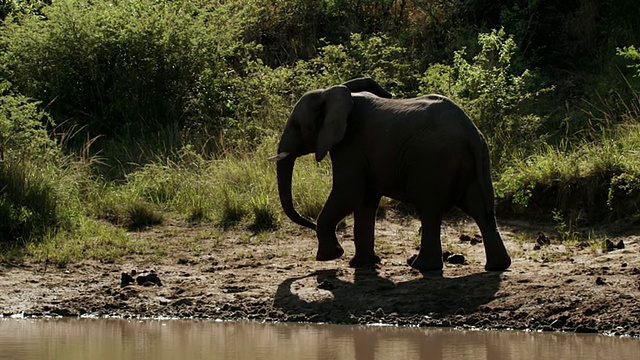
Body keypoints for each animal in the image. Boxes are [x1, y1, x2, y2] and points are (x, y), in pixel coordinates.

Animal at [268, 77, 510, 272]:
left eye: (296, 126)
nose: (309, 224)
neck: (329, 93)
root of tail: (472, 132)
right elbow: (365, 201)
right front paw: (361, 264)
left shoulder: (350, 144)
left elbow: (348, 193)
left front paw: (329, 257)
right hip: (471, 161)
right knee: (481, 210)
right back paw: (497, 266)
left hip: (434, 161)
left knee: (430, 210)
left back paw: (422, 266)